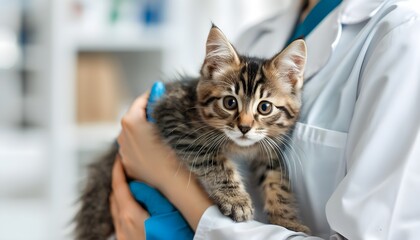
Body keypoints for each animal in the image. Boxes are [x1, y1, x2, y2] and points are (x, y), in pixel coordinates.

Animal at [75, 24, 310, 238]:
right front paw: (235, 199)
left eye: (265, 107)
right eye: (230, 102)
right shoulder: (173, 116)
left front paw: (288, 222)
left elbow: (277, 182)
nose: (244, 127)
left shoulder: (269, 148)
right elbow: (214, 160)